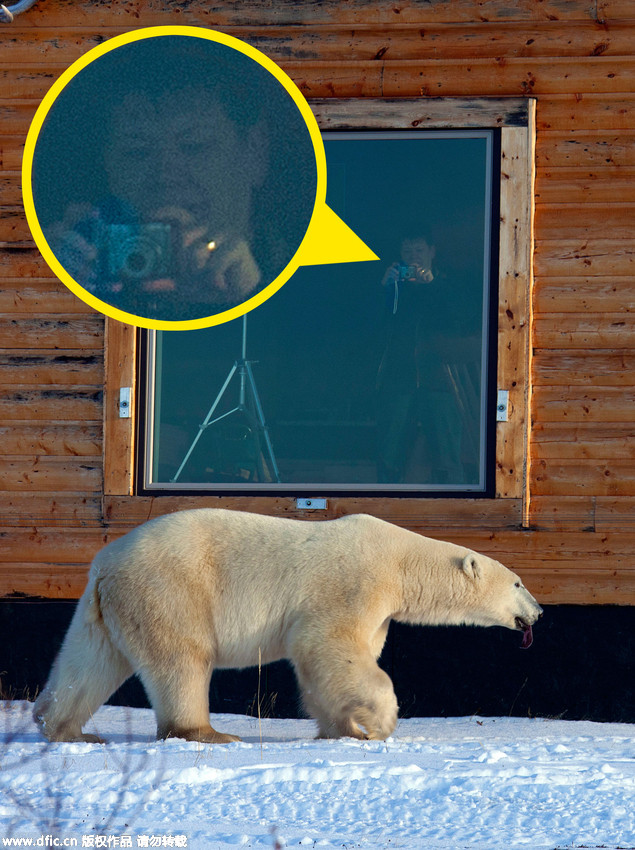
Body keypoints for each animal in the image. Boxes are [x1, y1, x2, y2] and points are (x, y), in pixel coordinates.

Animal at [32, 510, 544, 744]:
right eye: (519, 582)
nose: (538, 612)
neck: (398, 562)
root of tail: (104, 565)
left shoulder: (377, 610)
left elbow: (328, 667)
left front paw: (342, 730)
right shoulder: (351, 584)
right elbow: (332, 646)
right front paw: (379, 723)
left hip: (107, 607)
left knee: (88, 663)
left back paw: (63, 728)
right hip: (171, 590)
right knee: (183, 661)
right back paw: (209, 732)